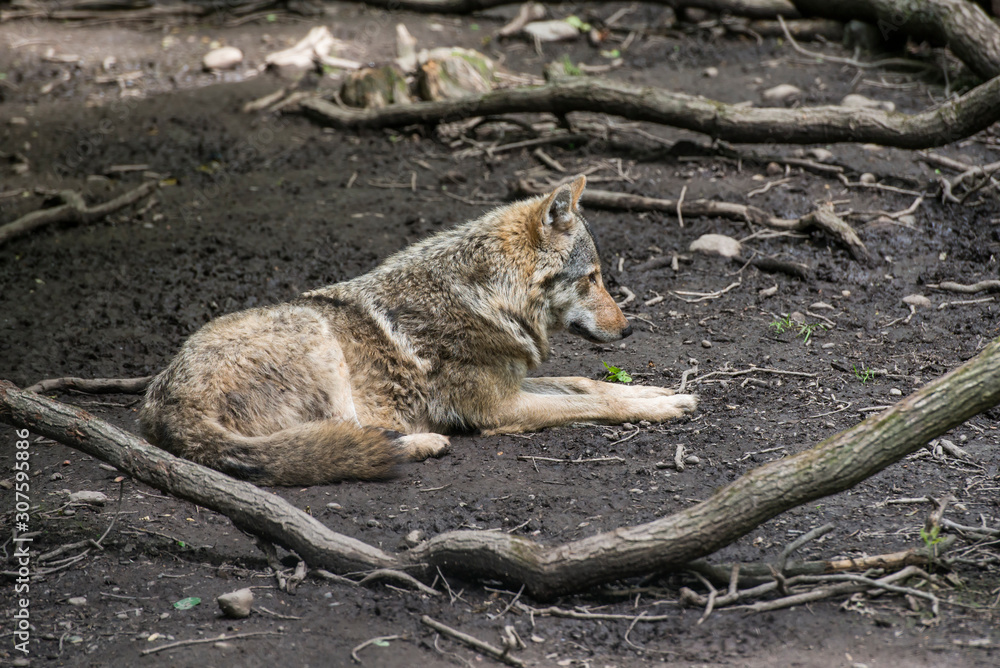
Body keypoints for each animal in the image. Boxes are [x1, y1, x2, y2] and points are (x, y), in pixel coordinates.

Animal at [139, 175, 698, 485]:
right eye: (593, 278)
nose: (628, 331)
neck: (490, 297)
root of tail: (165, 400)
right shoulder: (499, 409)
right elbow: (594, 400)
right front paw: (661, 408)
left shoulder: (514, 384)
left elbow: (586, 384)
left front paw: (658, 394)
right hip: (316, 339)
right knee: (348, 438)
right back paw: (423, 442)